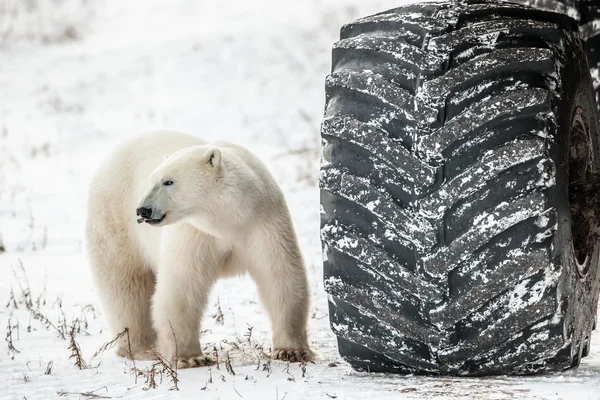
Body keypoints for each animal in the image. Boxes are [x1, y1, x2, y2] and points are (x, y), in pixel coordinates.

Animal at [85, 131, 314, 368]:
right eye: (151, 181)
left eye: (168, 181)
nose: (143, 210)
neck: (229, 220)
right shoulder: (195, 233)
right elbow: (183, 285)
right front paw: (189, 357)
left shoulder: (263, 222)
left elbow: (279, 275)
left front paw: (291, 351)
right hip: (115, 219)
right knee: (127, 284)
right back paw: (142, 348)